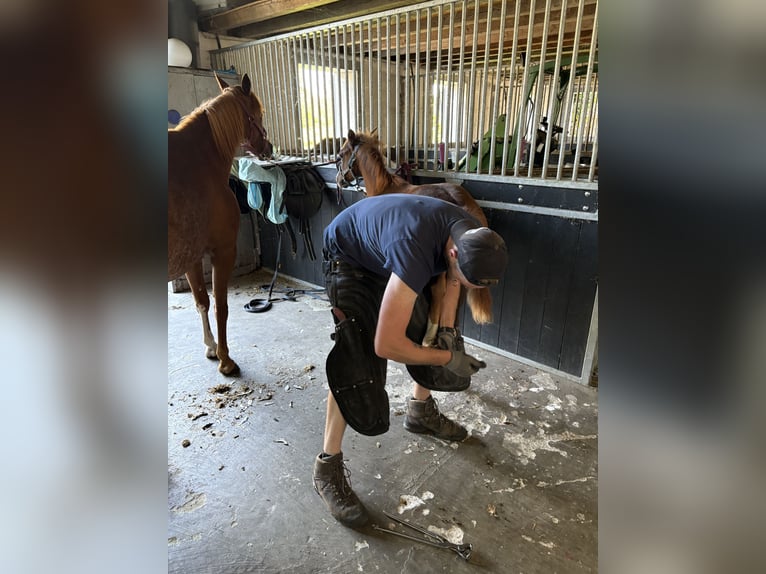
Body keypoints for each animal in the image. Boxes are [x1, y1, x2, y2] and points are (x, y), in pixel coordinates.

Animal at [168, 73, 272, 376]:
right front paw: (226, 360)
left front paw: (211, 347)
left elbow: (201, 301)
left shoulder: (191, 257)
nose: (269, 148)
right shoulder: (223, 252)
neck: (199, 162)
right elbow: (221, 307)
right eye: (259, 112)